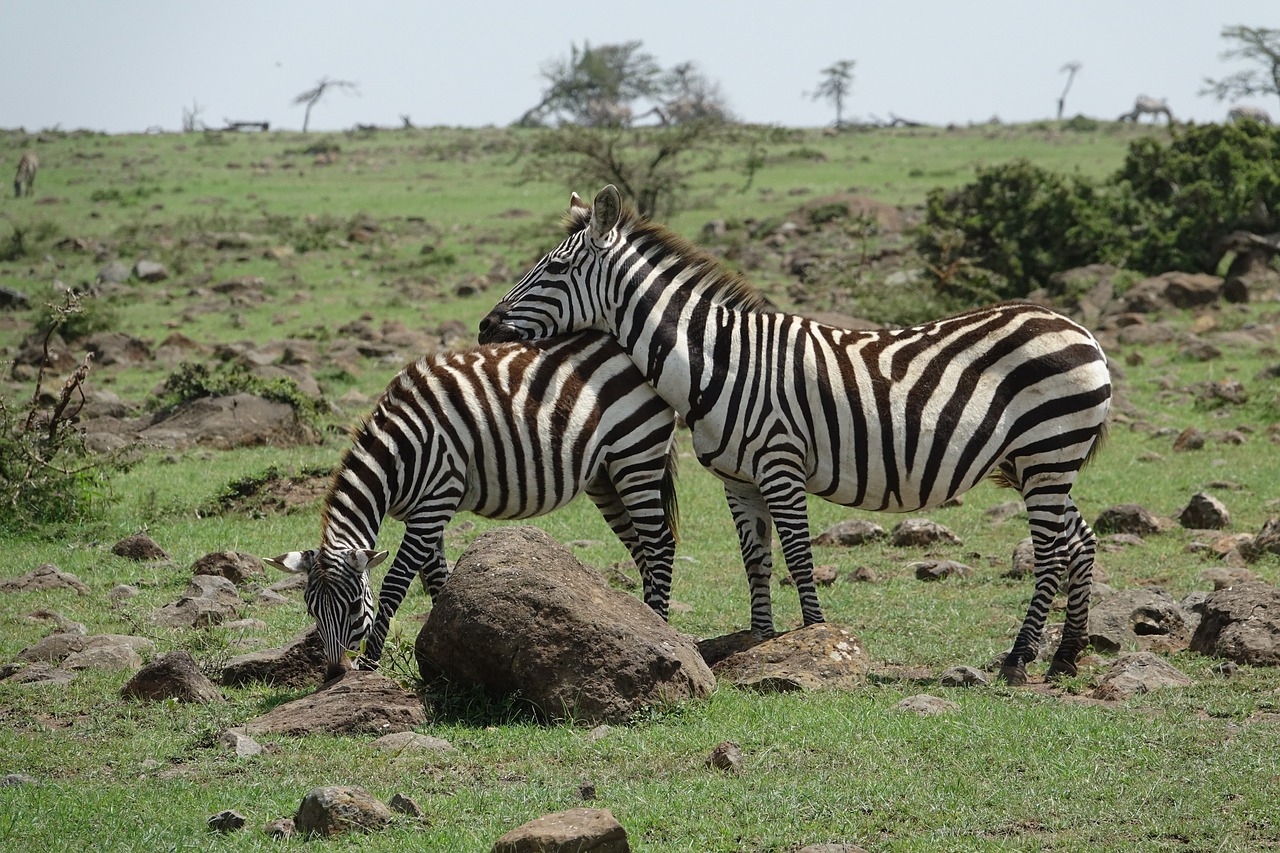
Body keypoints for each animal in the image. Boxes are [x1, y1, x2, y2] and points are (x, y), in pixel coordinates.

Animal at [261, 326, 680, 676]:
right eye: (311, 610)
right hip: (605, 476)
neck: (398, 456)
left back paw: (660, 626)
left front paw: (371, 662)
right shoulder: (424, 514)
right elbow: (436, 580)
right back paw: (645, 620)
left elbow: (396, 583)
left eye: (351, 606)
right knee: (641, 548)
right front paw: (446, 646)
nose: (334, 674)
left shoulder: (435, 502)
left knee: (659, 544)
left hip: (636, 454)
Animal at [478, 185, 1111, 686]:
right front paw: (762, 640)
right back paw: (1067, 658)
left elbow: (800, 560)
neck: (718, 361)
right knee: (1080, 541)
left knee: (1052, 550)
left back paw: (1020, 659)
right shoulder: (736, 480)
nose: (486, 326)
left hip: (1048, 451)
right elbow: (756, 560)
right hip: (1039, 462)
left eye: (554, 270)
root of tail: (1077, 327)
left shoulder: (781, 466)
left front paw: (816, 643)